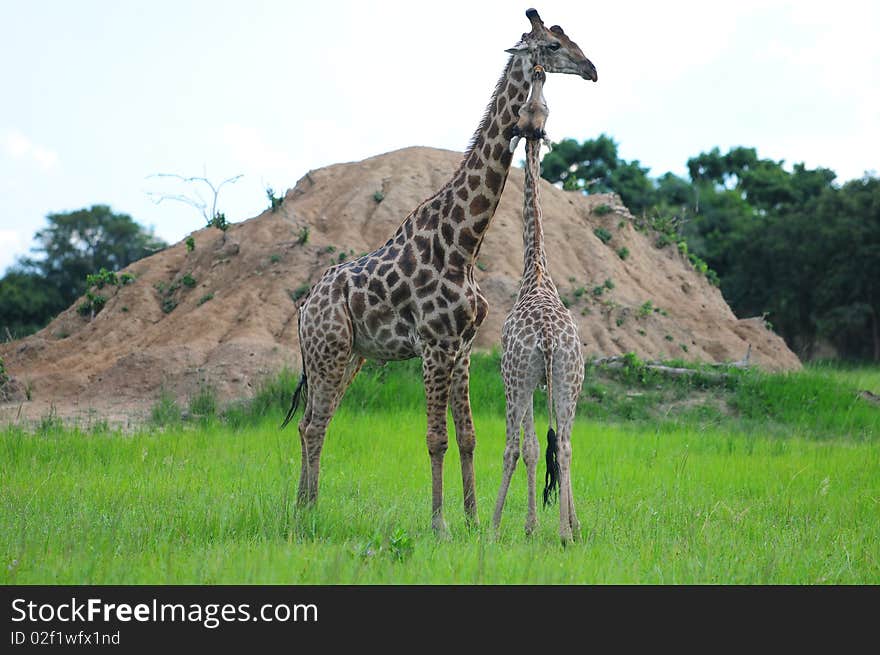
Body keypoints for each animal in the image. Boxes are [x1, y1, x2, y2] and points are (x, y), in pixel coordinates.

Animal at [284, 10, 600, 536]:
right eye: (554, 45)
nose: (593, 69)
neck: (463, 243)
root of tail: (306, 303)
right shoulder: (433, 346)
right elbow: (436, 438)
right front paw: (440, 525)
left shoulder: (463, 347)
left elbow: (468, 435)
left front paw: (472, 521)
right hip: (327, 351)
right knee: (314, 423)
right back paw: (306, 513)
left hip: (348, 355)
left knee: (315, 420)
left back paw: (304, 507)